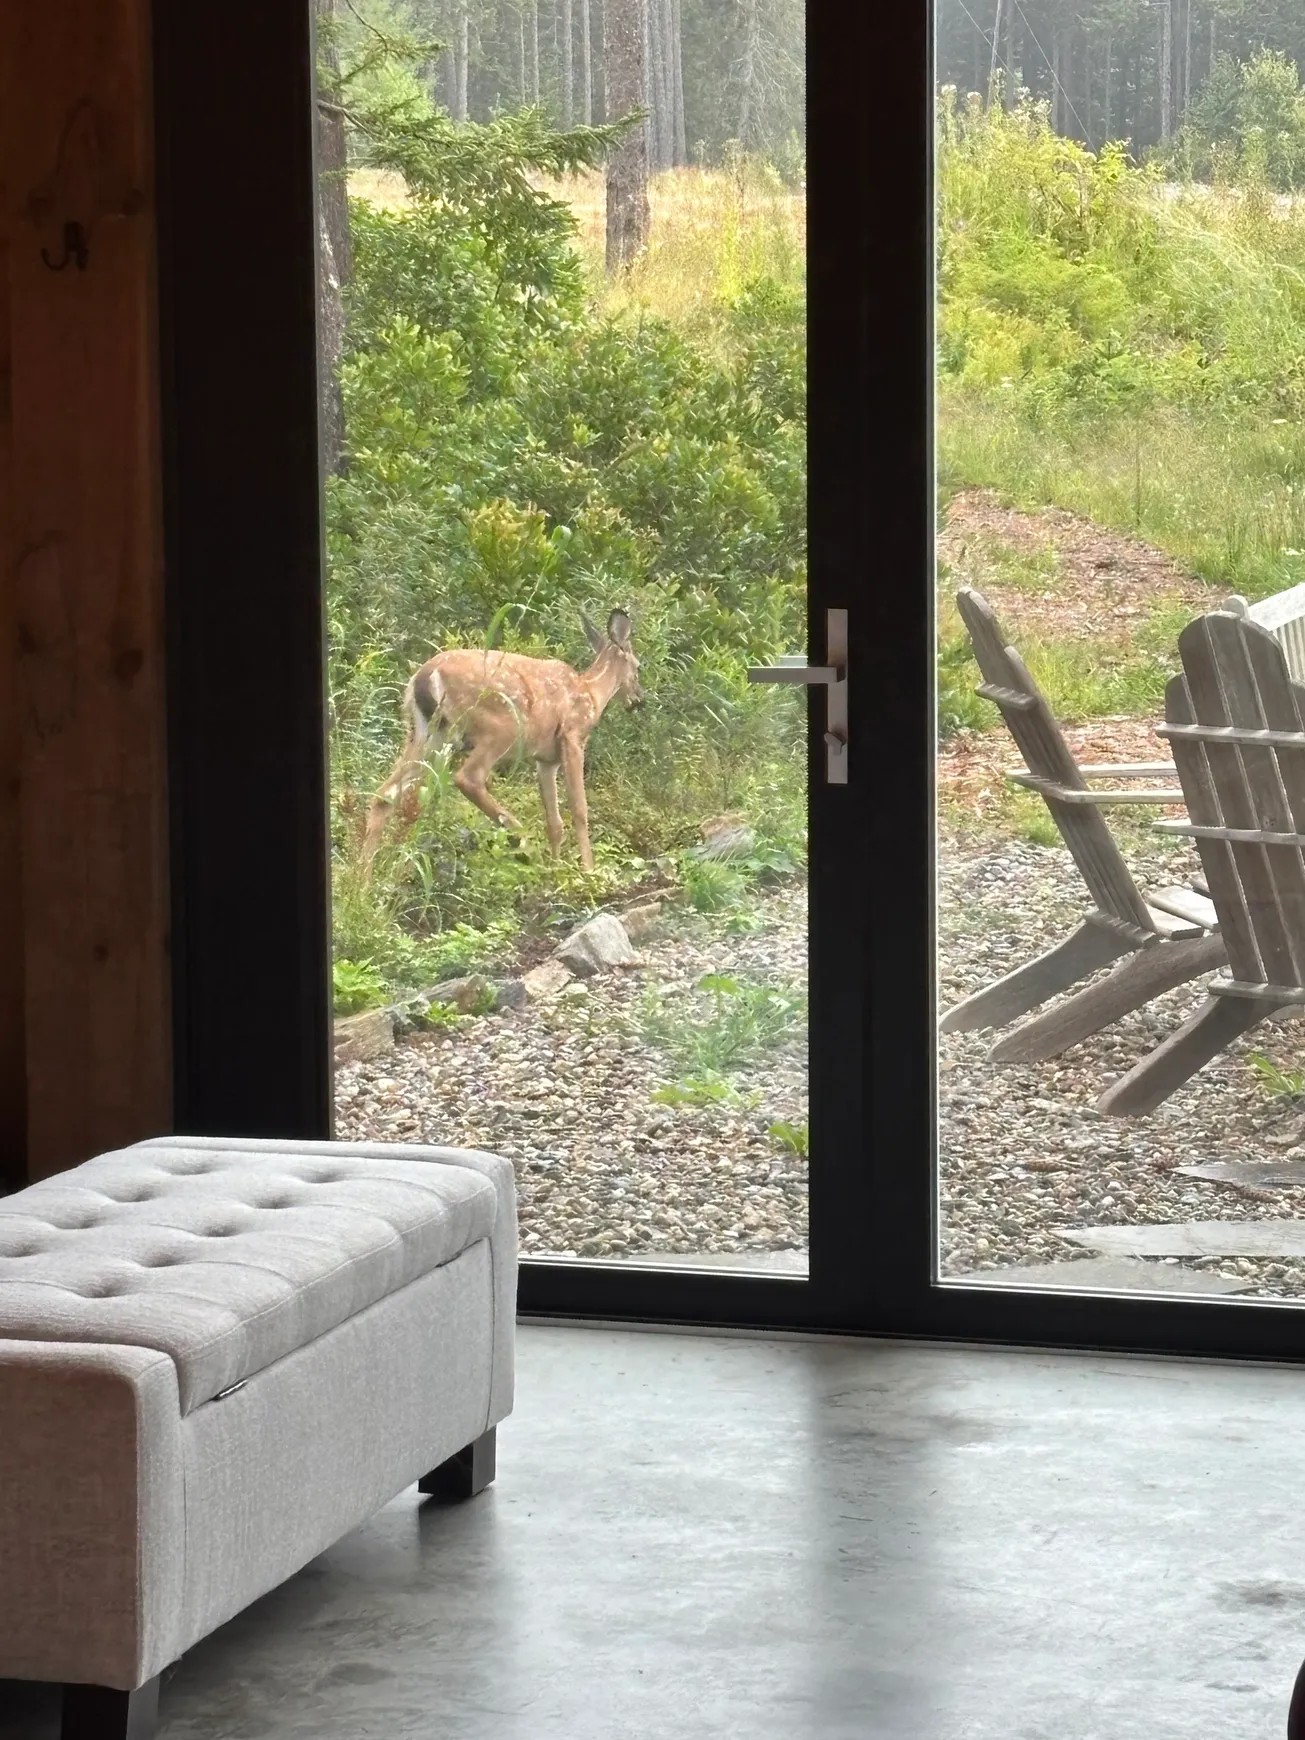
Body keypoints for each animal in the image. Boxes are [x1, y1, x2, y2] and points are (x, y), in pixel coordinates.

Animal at [361, 608, 644, 873]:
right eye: (638, 666)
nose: (638, 699)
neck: (591, 694)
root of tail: (426, 676)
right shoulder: (572, 736)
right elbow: (579, 810)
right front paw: (588, 870)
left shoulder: (546, 759)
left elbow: (554, 822)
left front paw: (555, 869)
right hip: (498, 728)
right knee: (468, 777)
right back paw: (521, 837)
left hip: (425, 734)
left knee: (384, 794)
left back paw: (363, 879)